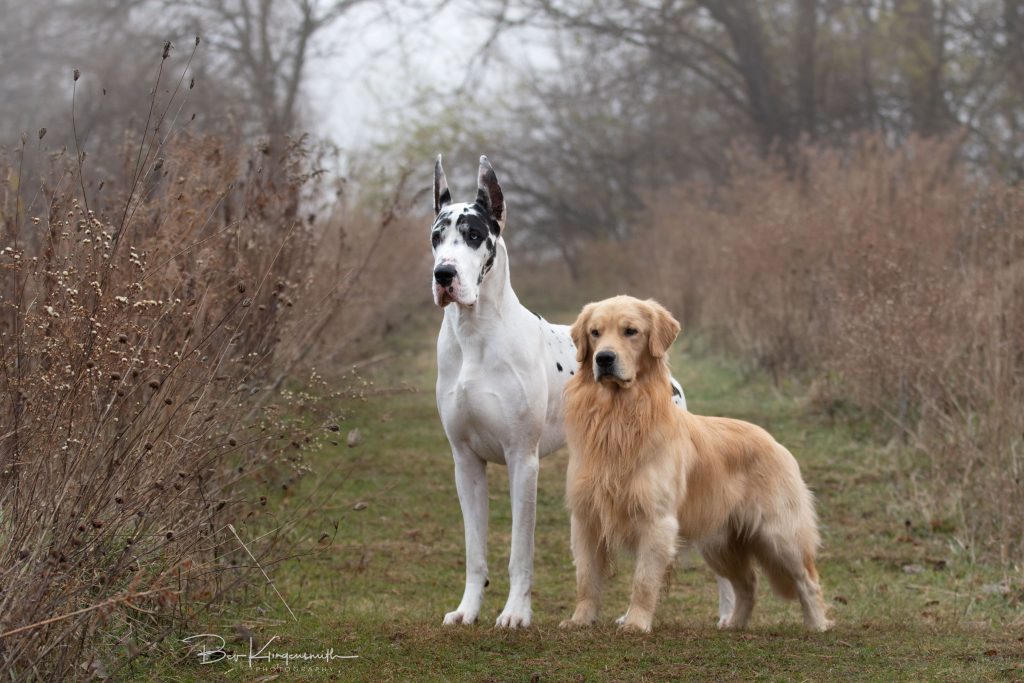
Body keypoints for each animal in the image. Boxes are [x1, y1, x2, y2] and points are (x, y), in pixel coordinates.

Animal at [561, 296, 831, 634]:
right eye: (595, 333)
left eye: (630, 331)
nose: (603, 359)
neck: (618, 419)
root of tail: (775, 442)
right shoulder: (585, 518)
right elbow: (586, 578)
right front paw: (580, 620)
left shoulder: (657, 521)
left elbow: (643, 581)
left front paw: (636, 623)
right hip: (720, 543)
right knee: (748, 584)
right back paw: (735, 624)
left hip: (780, 534)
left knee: (808, 580)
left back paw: (817, 625)